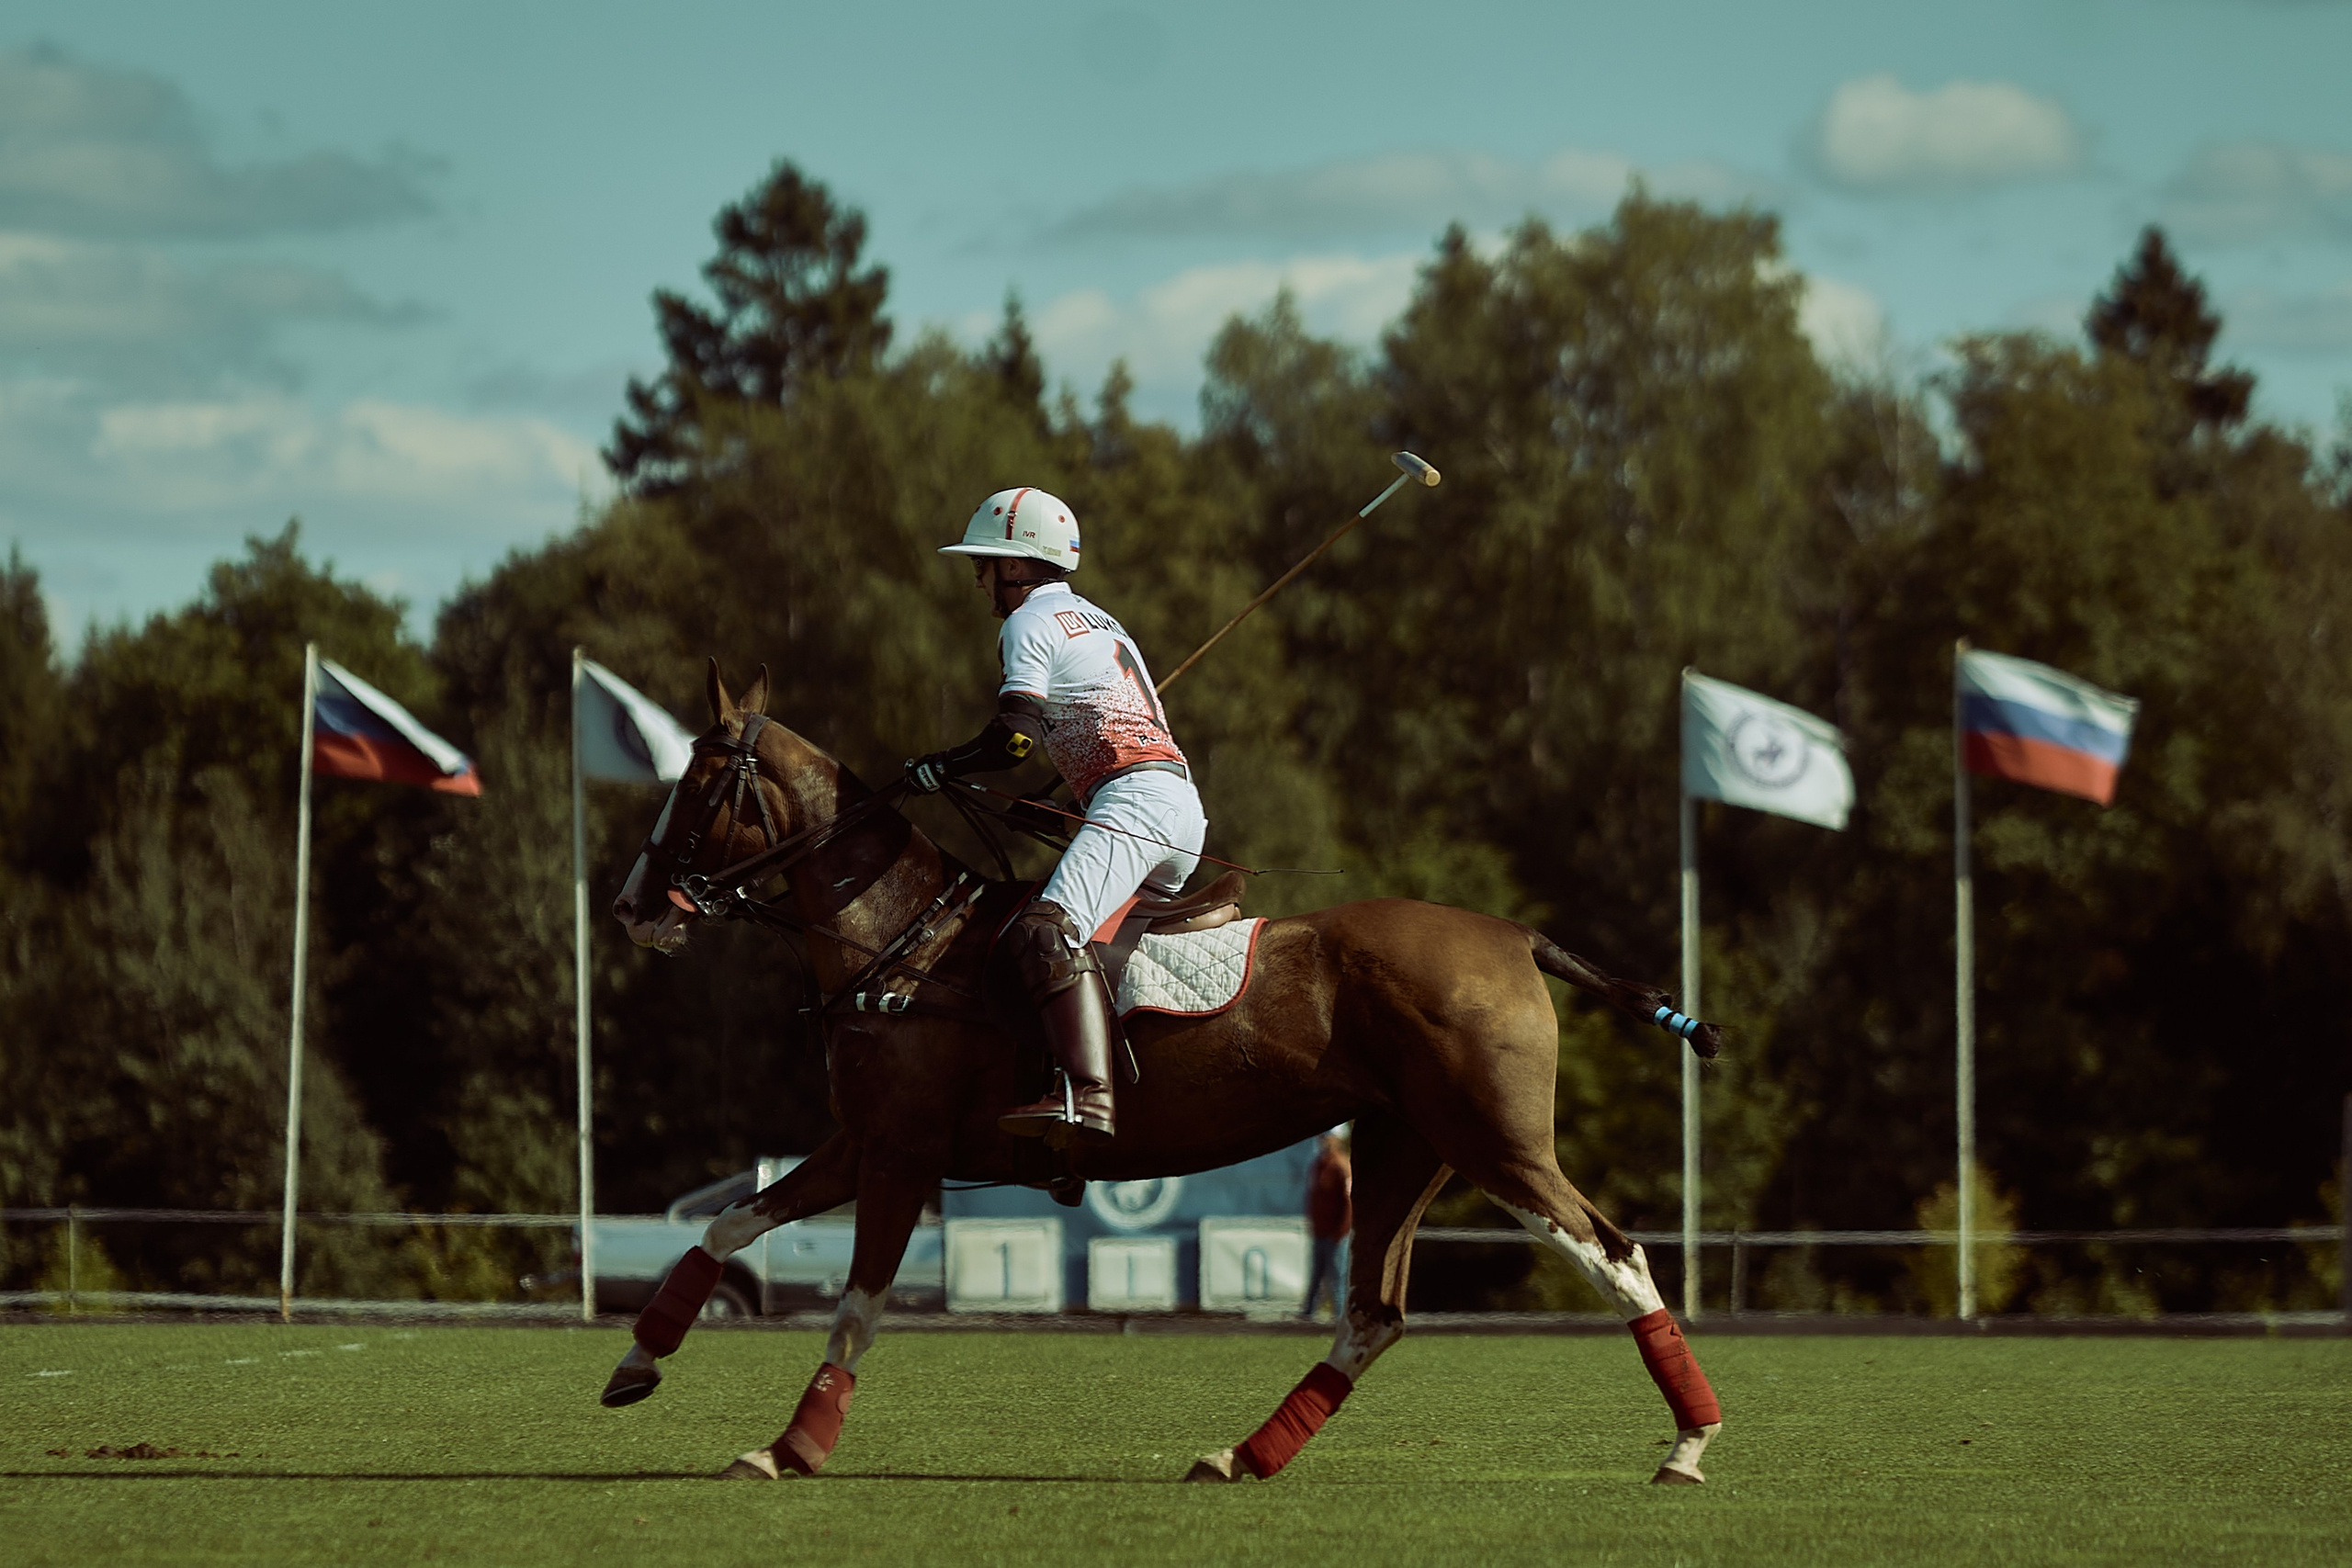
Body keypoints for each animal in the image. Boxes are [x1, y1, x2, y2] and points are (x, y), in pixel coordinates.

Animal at [602, 661, 1728, 1486]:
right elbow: (726, 1225)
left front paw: (788, 1446)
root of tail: (1515, 934)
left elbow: (856, 1303)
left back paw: (1688, 1444)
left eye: (697, 784)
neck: (899, 937)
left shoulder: (904, 1153)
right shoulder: (861, 1142)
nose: (632, 907)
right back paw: (1243, 1456)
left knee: (1614, 1254)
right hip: (1405, 1145)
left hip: (1495, 1140)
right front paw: (634, 1363)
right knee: (1375, 1311)